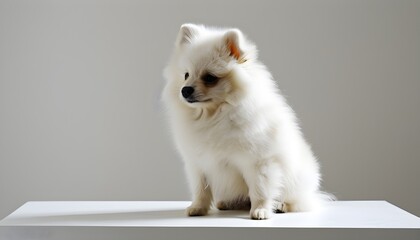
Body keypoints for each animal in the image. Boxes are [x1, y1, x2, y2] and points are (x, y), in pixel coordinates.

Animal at [162, 23, 334, 219]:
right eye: (186, 75)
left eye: (210, 78)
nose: (185, 90)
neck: (214, 116)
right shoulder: (198, 164)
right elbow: (201, 190)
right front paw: (197, 208)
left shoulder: (259, 161)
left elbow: (260, 190)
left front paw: (261, 211)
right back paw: (228, 203)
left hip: (296, 183)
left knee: (298, 202)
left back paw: (281, 205)